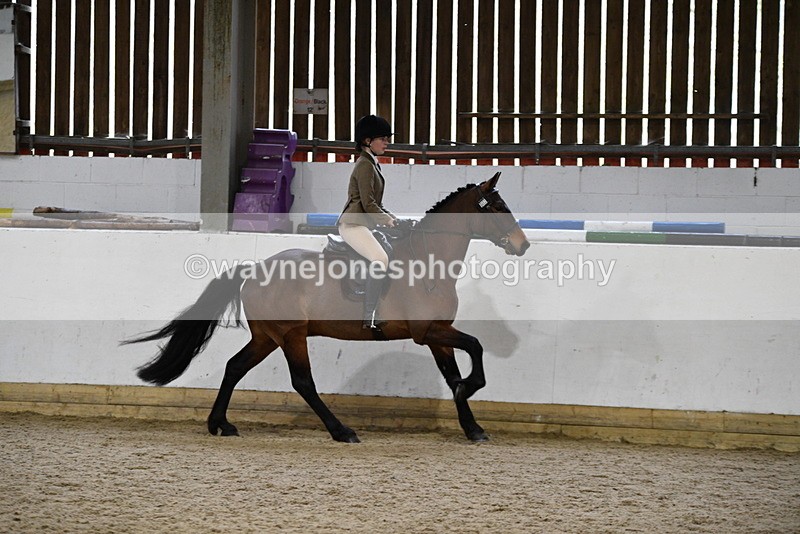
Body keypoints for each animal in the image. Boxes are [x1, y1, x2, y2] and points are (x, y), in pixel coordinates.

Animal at [124, 172, 530, 443]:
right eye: (497, 208)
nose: (522, 244)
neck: (429, 262)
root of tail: (253, 270)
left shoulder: (437, 335)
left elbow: (453, 373)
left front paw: (472, 426)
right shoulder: (428, 331)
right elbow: (475, 347)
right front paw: (470, 390)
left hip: (267, 336)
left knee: (235, 367)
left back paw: (220, 424)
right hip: (291, 335)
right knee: (302, 381)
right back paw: (342, 431)